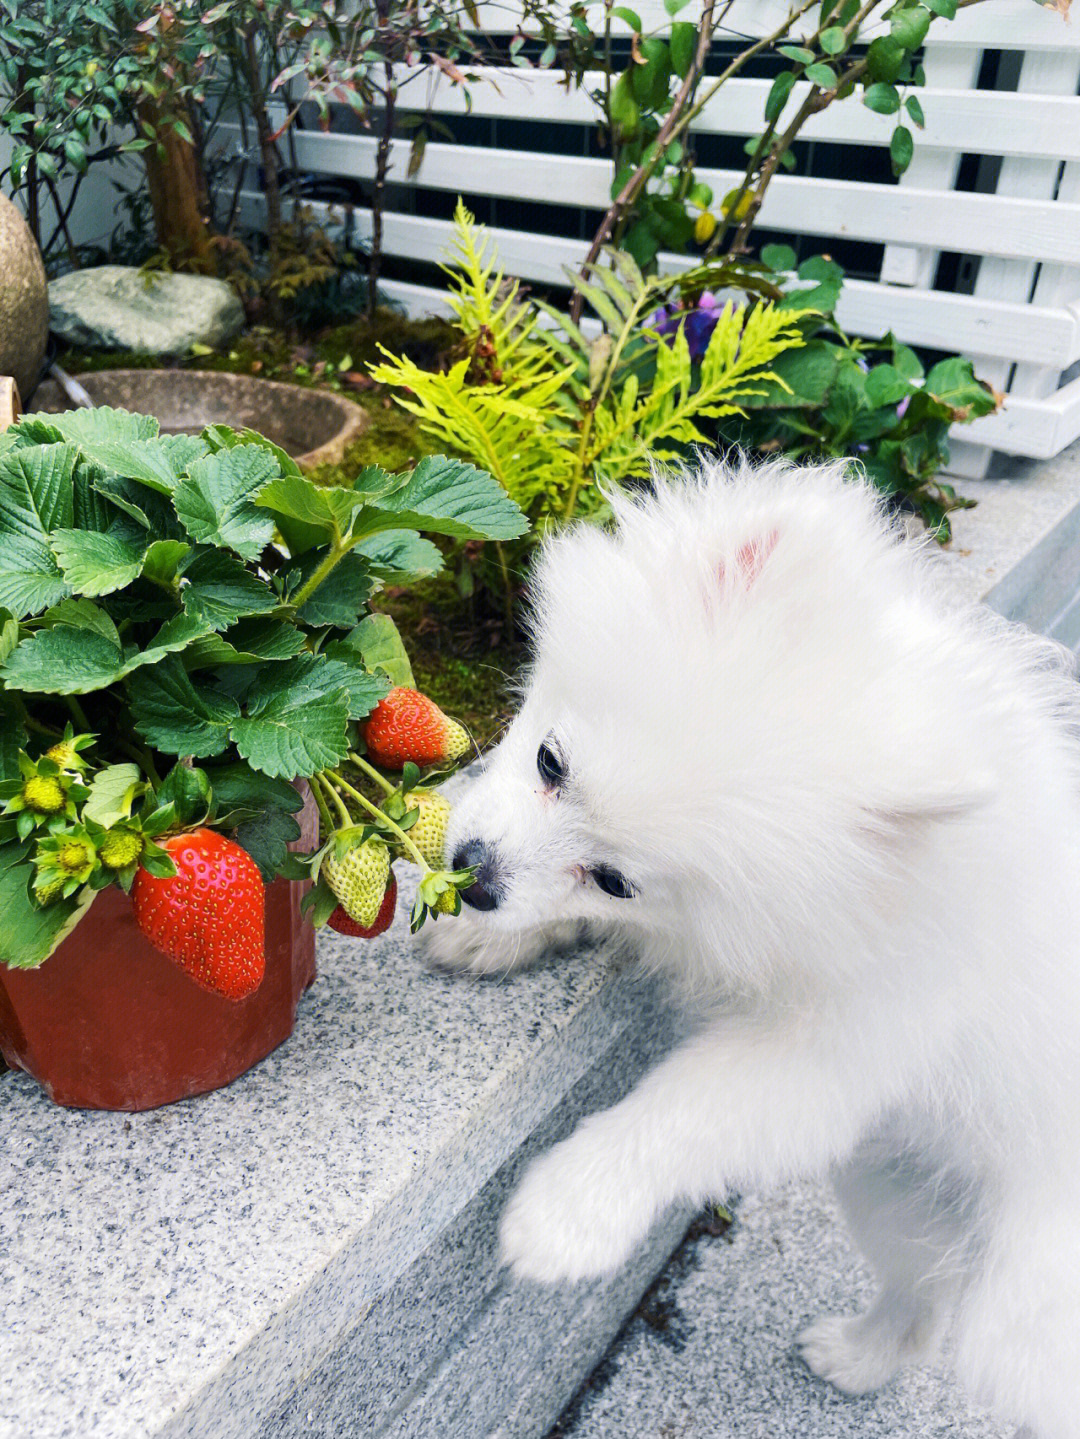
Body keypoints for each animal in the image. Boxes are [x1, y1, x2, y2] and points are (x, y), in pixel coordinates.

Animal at [419, 457, 1080, 1439]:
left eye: (615, 877)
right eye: (548, 761)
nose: (472, 876)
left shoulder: (837, 1048)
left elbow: (686, 1106)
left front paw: (572, 1209)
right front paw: (482, 930)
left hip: (1025, 1307)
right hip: (893, 1183)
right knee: (922, 1294)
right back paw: (861, 1356)